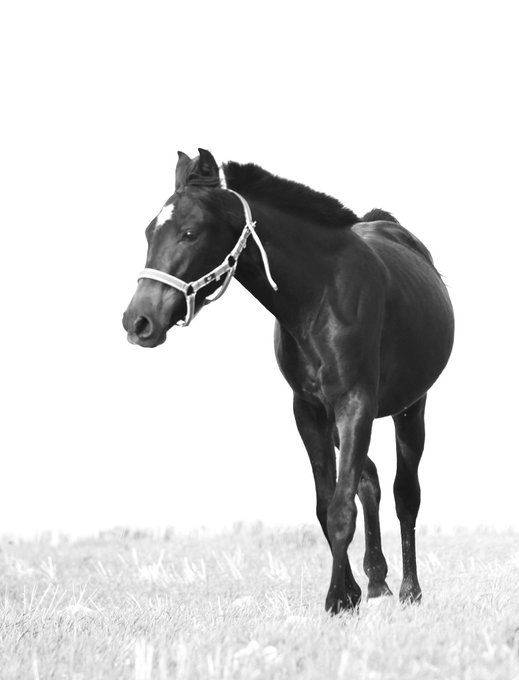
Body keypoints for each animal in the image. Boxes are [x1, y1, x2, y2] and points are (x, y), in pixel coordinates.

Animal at [122, 148, 454, 614]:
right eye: (149, 231)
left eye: (189, 232)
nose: (138, 321)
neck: (321, 295)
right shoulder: (310, 411)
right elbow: (326, 504)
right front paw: (350, 594)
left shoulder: (356, 403)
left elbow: (341, 510)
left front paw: (335, 601)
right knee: (369, 481)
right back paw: (377, 582)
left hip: (410, 408)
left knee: (405, 494)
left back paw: (409, 590)